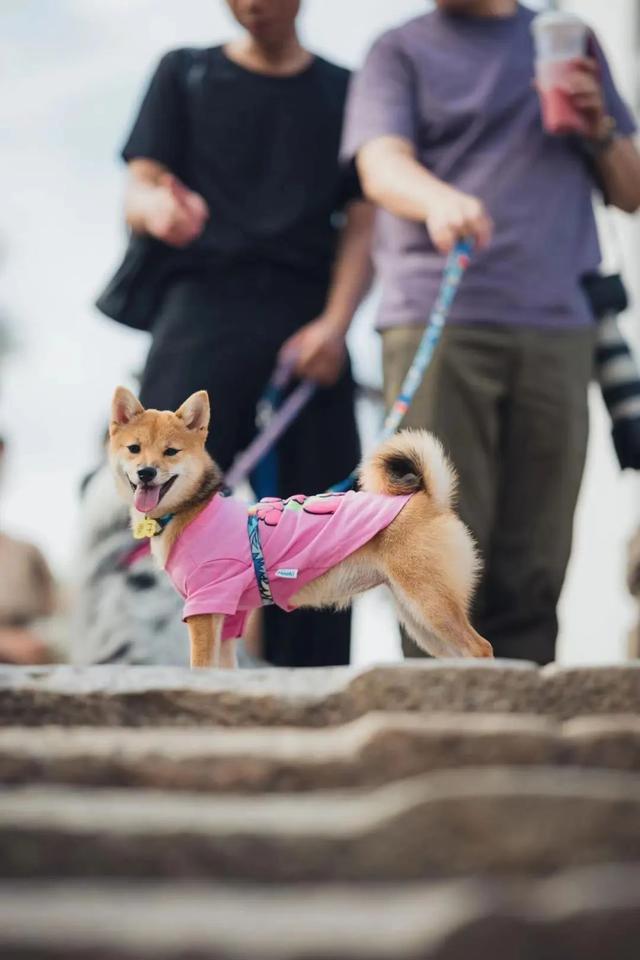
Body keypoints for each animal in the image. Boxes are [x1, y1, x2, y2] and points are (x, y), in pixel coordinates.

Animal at [110, 386, 492, 672]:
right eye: (134, 449)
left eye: (171, 452)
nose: (146, 472)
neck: (193, 511)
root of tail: (428, 498)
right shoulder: (227, 619)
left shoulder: (205, 607)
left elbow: (201, 669)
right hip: (419, 620)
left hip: (430, 605)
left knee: (481, 648)